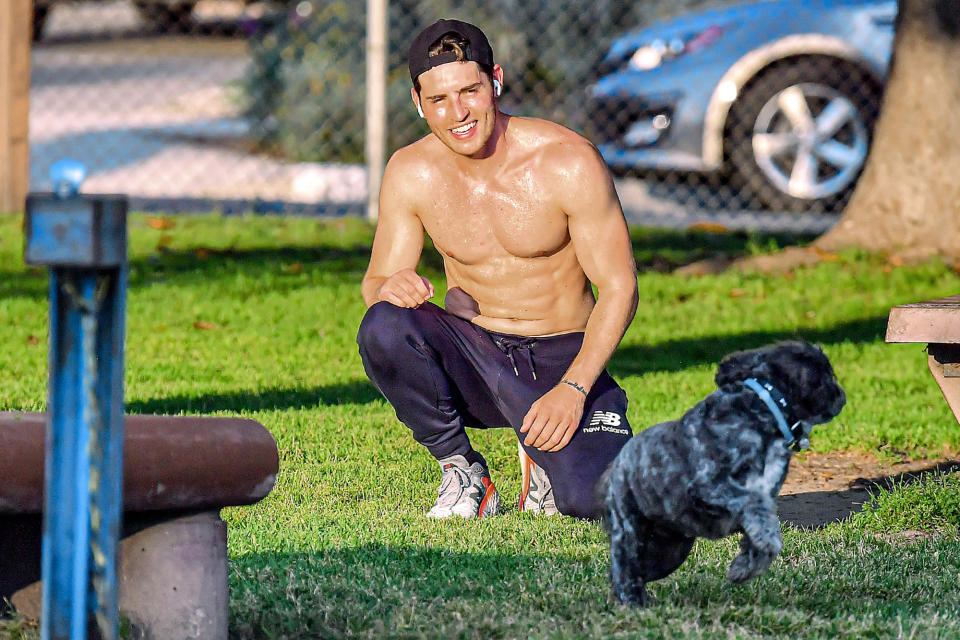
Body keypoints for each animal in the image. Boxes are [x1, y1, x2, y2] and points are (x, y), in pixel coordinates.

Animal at [604, 340, 844, 604]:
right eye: (828, 376)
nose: (842, 396)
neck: (761, 406)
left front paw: (744, 568)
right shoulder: (711, 486)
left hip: (671, 549)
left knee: (640, 570)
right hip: (630, 528)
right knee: (625, 564)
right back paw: (632, 601)